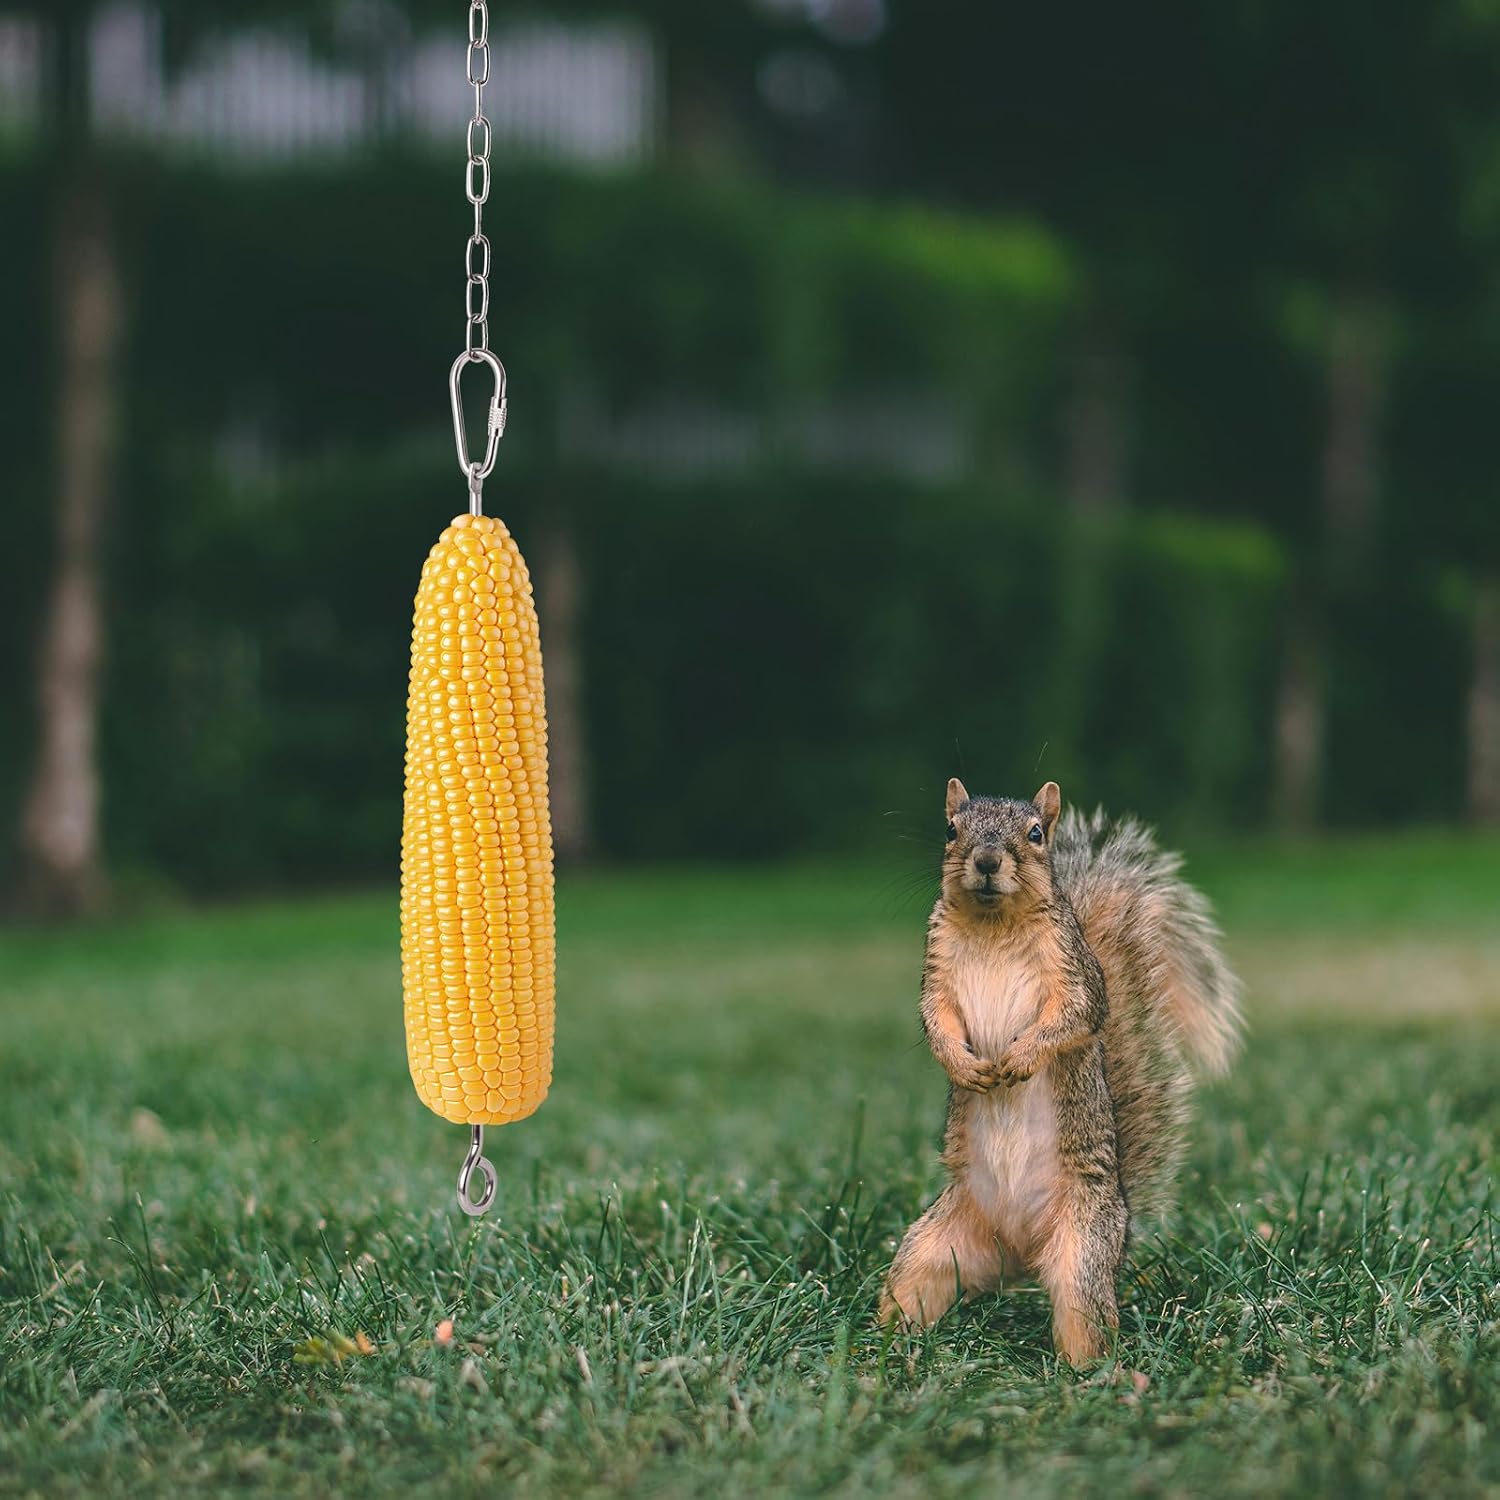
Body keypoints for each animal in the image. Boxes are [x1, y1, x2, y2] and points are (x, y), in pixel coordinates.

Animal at [879, 778, 1242, 1364]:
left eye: (1035, 833)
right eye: (951, 829)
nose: (986, 861)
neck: (993, 923)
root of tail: (1019, 1253)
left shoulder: (1074, 970)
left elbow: (1077, 1015)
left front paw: (1021, 1058)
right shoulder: (936, 971)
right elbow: (936, 1019)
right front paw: (963, 1064)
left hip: (1083, 1246)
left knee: (1083, 1312)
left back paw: (1090, 1372)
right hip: (933, 1249)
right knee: (911, 1285)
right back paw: (878, 1347)